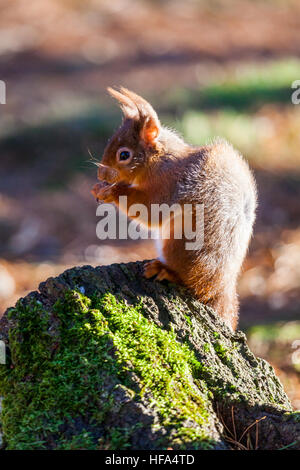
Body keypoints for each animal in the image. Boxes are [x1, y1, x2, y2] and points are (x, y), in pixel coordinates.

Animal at [91, 88, 255, 330]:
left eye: (124, 155)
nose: (101, 174)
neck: (160, 159)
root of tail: (223, 287)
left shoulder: (173, 186)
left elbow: (150, 210)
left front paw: (109, 191)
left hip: (183, 245)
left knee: (191, 282)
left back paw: (165, 271)